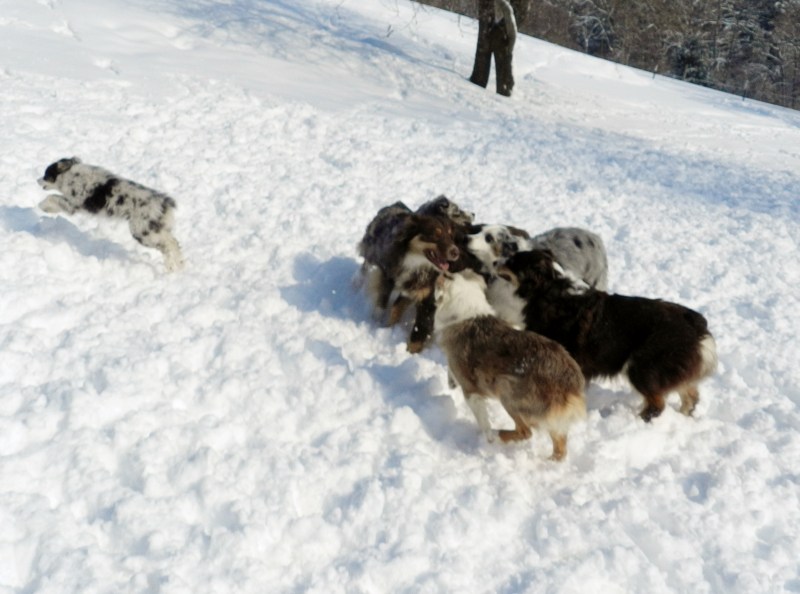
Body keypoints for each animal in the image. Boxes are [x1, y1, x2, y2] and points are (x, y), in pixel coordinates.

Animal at [37, 157, 183, 271]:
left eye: (46, 175)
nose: (37, 180)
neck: (70, 176)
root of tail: (165, 203)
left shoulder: (72, 204)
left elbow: (53, 197)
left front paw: (42, 206)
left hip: (142, 232)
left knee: (167, 245)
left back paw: (171, 266)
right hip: (154, 229)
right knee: (173, 242)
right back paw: (180, 263)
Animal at [358, 200, 461, 352]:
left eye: (450, 235)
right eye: (435, 235)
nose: (456, 252)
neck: (415, 262)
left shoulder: (425, 296)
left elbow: (418, 329)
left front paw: (410, 352)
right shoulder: (389, 276)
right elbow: (386, 305)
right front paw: (382, 327)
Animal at [434, 269, 586, 460]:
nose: (442, 271)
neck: (470, 313)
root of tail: (571, 384)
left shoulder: (471, 392)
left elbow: (483, 421)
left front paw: (488, 440)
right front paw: (450, 381)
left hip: (505, 387)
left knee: (525, 431)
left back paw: (498, 434)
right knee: (560, 449)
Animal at [496, 249, 717, 422]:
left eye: (513, 260)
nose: (494, 261)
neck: (549, 290)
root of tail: (697, 323)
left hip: (642, 366)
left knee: (657, 404)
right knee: (690, 396)